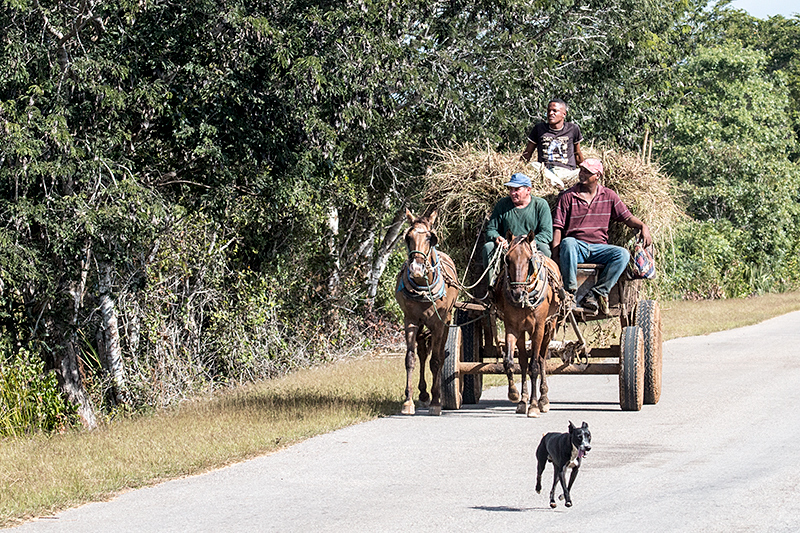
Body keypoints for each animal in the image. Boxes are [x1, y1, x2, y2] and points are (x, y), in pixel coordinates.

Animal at [396, 209, 460, 416]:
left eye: (430, 238)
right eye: (408, 237)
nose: (416, 268)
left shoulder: (439, 323)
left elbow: (437, 360)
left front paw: (436, 401)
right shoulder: (410, 321)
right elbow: (410, 359)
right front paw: (408, 402)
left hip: (446, 322)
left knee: (439, 354)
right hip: (423, 325)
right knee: (423, 352)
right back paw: (423, 394)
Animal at [490, 229, 564, 416]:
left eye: (529, 260)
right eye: (507, 259)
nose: (517, 293)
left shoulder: (538, 328)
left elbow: (535, 366)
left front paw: (534, 405)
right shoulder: (512, 327)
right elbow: (510, 362)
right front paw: (515, 395)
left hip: (549, 327)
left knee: (542, 358)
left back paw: (543, 399)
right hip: (524, 332)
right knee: (523, 361)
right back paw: (523, 400)